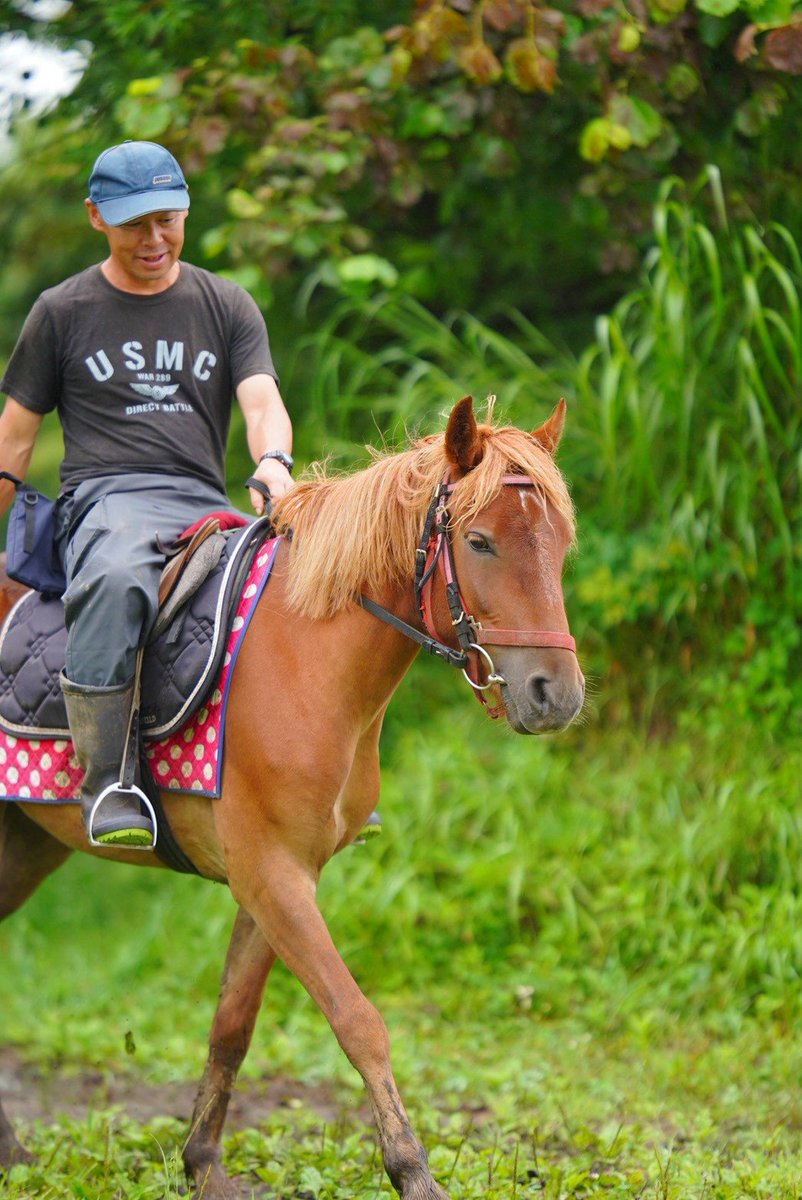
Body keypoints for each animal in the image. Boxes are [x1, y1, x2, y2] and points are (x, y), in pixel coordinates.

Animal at [0, 395, 585, 1200]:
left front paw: (203, 1164)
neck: (307, 659)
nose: (555, 695)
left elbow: (232, 1025)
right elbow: (358, 1019)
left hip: (24, 846)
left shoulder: (275, 877)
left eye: (560, 544)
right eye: (480, 541)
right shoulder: (271, 873)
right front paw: (413, 1172)